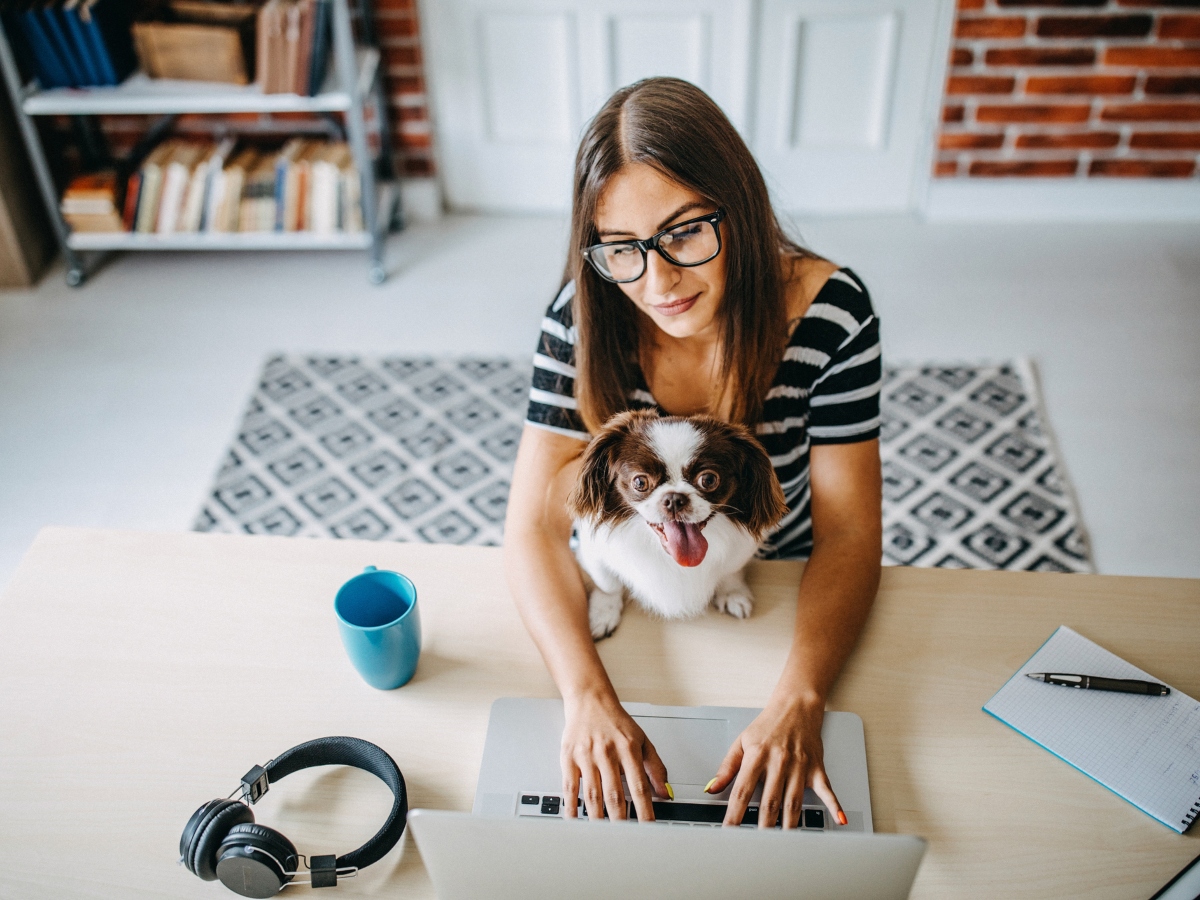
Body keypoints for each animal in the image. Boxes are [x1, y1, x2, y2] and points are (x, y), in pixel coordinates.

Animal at [568, 408, 787, 643]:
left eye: (708, 480)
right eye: (640, 482)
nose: (674, 498)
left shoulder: (739, 552)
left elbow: (731, 572)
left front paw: (732, 593)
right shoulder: (594, 553)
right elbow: (607, 584)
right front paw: (603, 613)